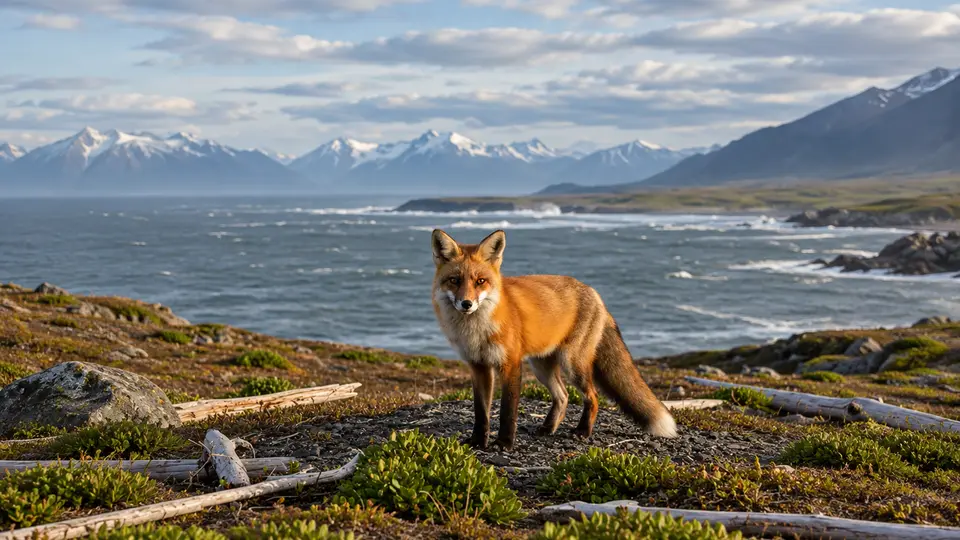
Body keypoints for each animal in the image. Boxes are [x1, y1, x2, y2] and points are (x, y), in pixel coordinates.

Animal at [430, 228, 677, 451]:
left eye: (480, 281)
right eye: (454, 280)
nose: (467, 304)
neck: (476, 330)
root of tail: (594, 293)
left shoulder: (510, 364)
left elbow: (507, 411)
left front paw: (504, 443)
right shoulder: (478, 366)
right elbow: (481, 413)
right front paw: (477, 442)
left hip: (572, 364)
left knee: (592, 396)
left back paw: (583, 431)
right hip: (542, 367)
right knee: (563, 396)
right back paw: (548, 428)